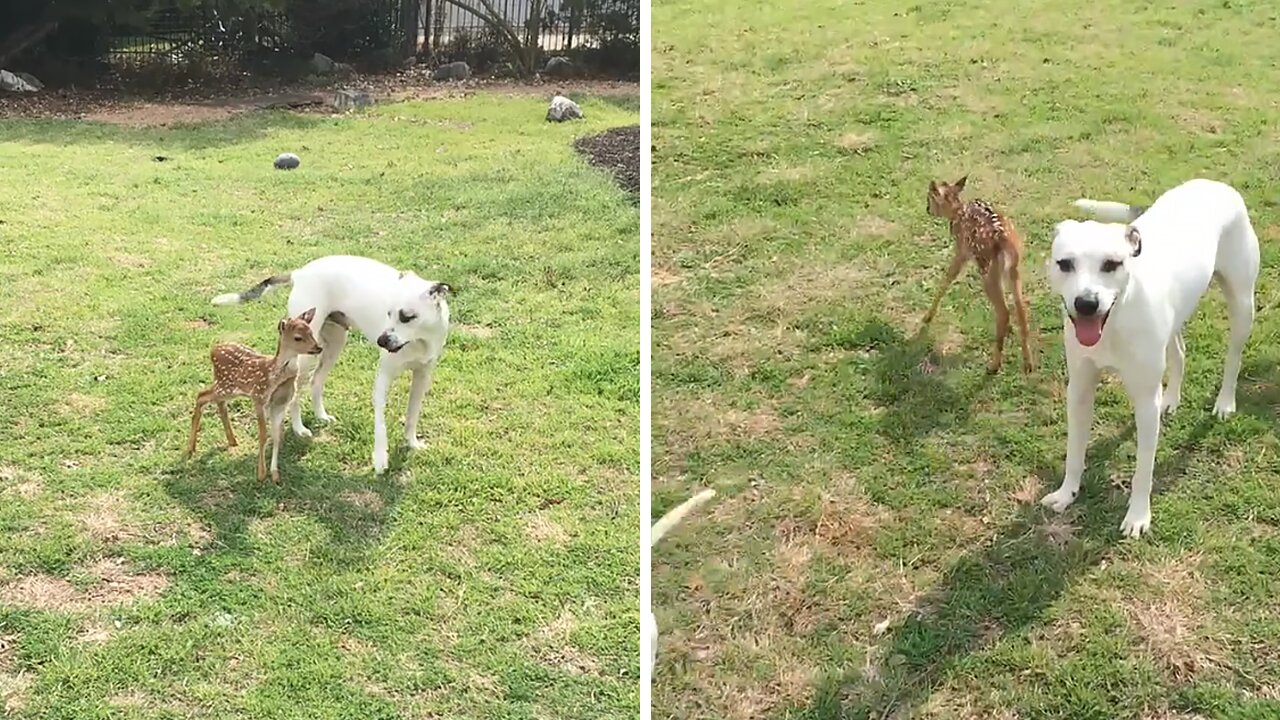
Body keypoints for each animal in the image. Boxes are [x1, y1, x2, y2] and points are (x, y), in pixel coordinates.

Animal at [209, 254, 450, 474]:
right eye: (388, 313)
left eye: (407, 317)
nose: (381, 341)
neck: (419, 339)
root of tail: (300, 273)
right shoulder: (383, 378)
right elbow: (380, 425)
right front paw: (380, 460)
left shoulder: (422, 376)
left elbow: (412, 414)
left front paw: (412, 443)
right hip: (304, 355)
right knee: (295, 394)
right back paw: (299, 428)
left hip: (334, 345)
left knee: (316, 381)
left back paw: (321, 416)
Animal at [1049, 178, 1259, 538]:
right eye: (1065, 264)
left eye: (1111, 264)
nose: (1086, 303)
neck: (1115, 319)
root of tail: (1213, 183)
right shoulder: (1079, 390)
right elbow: (1074, 451)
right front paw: (1067, 493)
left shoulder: (1145, 401)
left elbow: (1143, 470)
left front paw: (1137, 516)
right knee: (1179, 352)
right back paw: (1172, 398)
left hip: (1242, 302)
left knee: (1233, 355)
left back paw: (1225, 401)